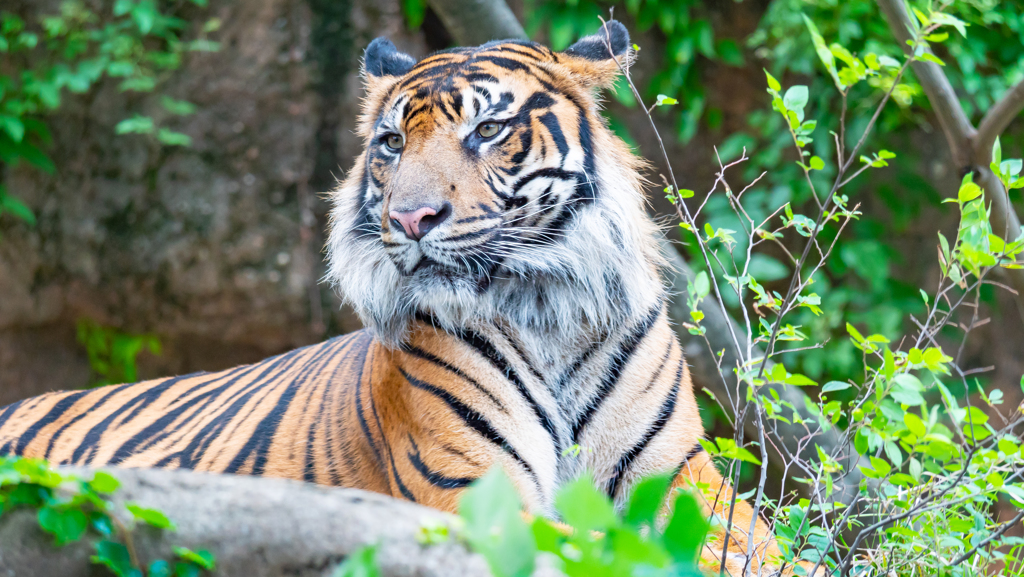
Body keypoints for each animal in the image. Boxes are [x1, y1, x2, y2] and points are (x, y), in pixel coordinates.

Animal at [2, 21, 815, 573]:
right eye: (392, 142)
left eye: (489, 128)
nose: (410, 219)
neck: (545, 310)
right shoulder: (474, 489)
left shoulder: (683, 477)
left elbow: (768, 550)